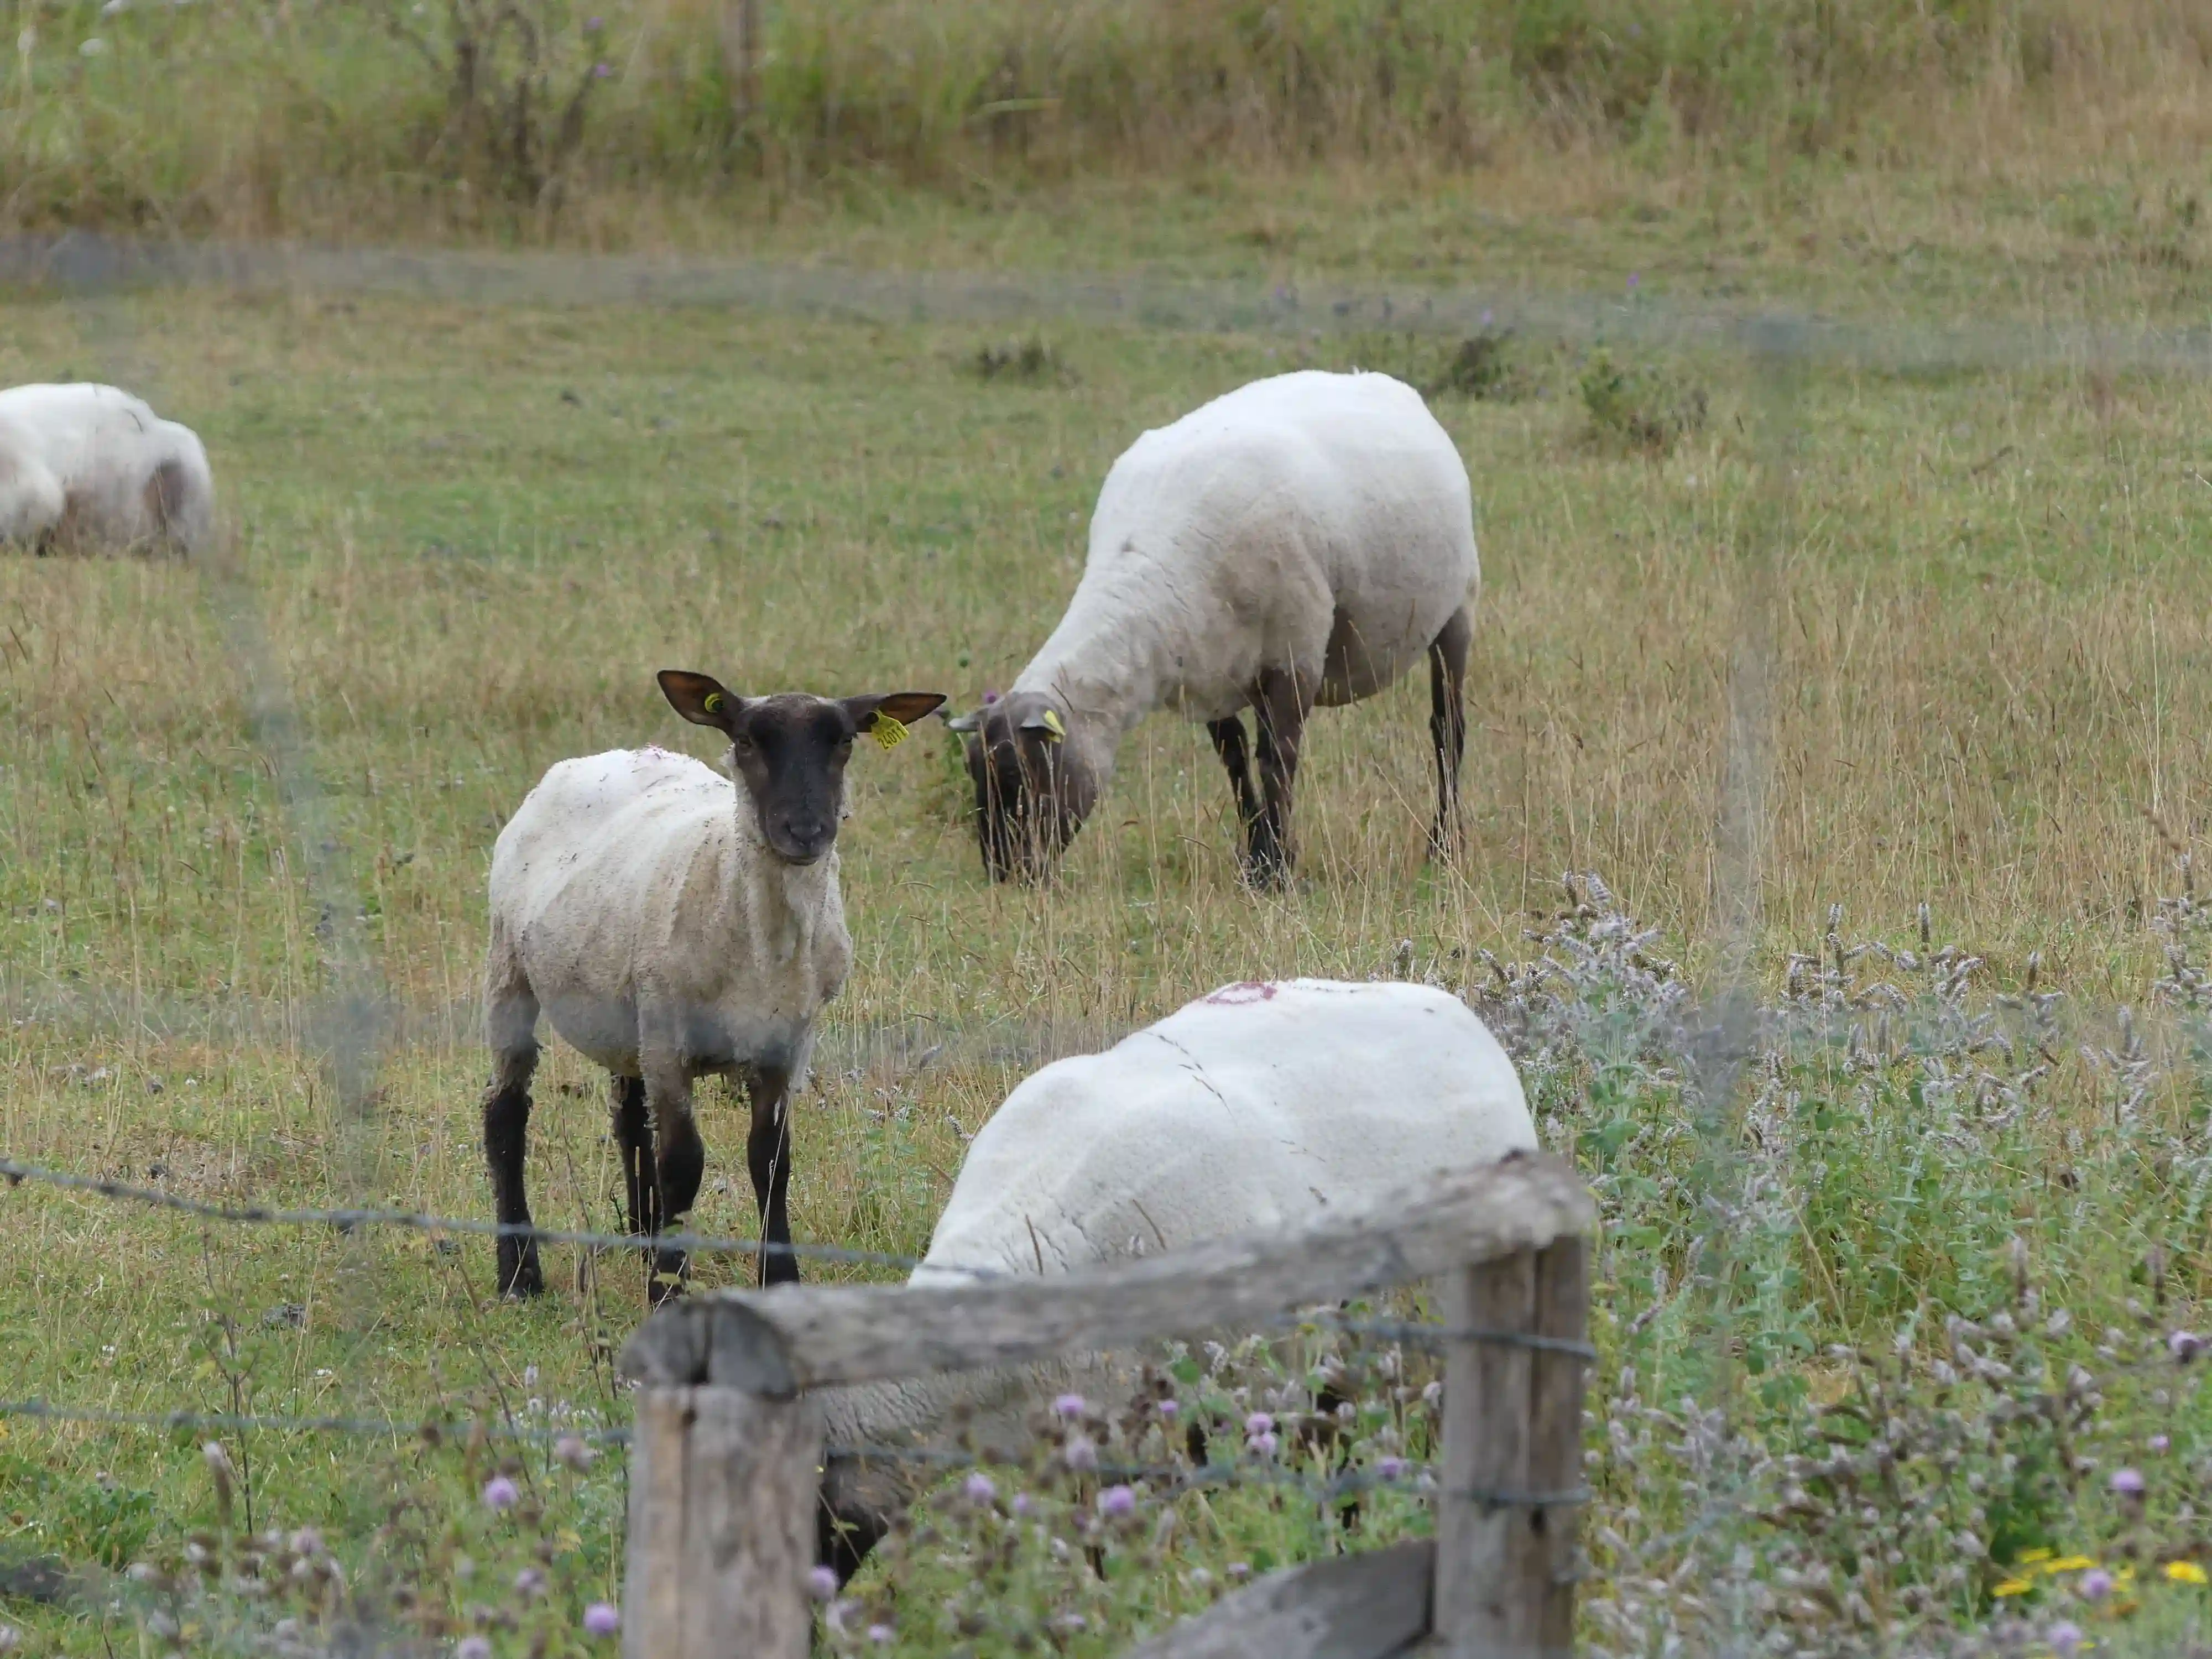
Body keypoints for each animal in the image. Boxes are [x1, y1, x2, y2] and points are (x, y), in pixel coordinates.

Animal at [481, 669, 946, 1303]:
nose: (806, 832)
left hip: (627, 1010)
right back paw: (520, 1273)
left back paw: (642, 1234)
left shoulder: (787, 1043)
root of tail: (602, 757)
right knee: (506, 1114)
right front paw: (668, 1288)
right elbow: (683, 1163)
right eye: (746, 740)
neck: (762, 946)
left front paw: (777, 1278)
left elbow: (771, 1161)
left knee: (631, 1118)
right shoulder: (670, 1040)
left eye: (846, 741)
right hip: (512, 965)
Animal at [946, 370, 1479, 887]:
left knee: (1447, 727)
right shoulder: (1208, 665)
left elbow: (1277, 760)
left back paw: (1442, 847)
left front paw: (1276, 870)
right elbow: (1236, 761)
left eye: (1020, 772)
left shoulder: (1294, 656)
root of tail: (1387, 384)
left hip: (1458, 610)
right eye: (973, 769)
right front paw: (1258, 858)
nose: (1005, 872)